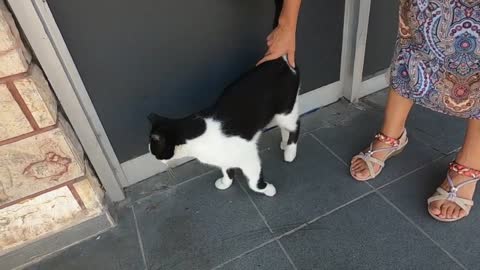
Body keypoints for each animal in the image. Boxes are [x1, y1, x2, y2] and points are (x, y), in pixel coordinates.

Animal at [149, 56, 300, 196]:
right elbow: (227, 171)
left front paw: (268, 189)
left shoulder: (249, 157)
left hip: (285, 112)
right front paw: (225, 183)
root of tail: (282, 59)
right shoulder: (224, 157)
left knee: (295, 126)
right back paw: (284, 143)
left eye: (155, 151)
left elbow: (254, 183)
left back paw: (290, 152)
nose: (155, 159)